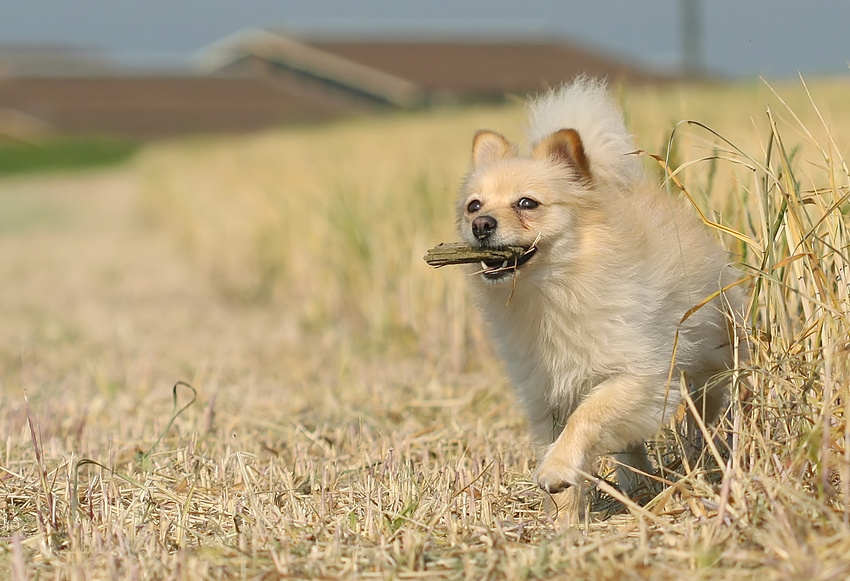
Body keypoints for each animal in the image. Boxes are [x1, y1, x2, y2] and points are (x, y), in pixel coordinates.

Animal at [458, 77, 744, 520]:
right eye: (474, 205)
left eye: (527, 203)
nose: (481, 225)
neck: (553, 290)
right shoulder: (546, 397)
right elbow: (566, 439)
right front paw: (563, 519)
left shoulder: (639, 376)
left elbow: (587, 417)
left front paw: (557, 469)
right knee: (630, 445)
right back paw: (638, 481)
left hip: (710, 355)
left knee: (706, 403)